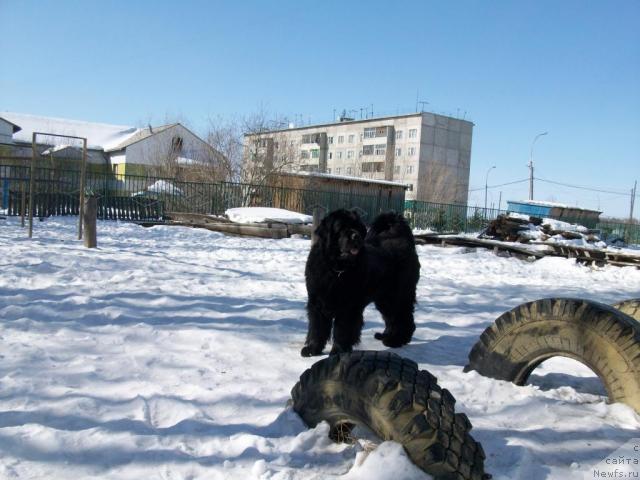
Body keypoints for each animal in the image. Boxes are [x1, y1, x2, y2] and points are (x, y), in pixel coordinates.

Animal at [300, 208, 420, 358]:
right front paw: (312, 349)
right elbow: (317, 328)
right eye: (341, 227)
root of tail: (405, 241)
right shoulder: (318, 303)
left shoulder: (349, 307)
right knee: (392, 318)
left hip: (397, 296)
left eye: (356, 227)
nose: (355, 236)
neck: (336, 270)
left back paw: (396, 341)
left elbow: (343, 330)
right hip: (384, 299)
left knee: (404, 318)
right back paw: (385, 336)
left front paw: (338, 351)